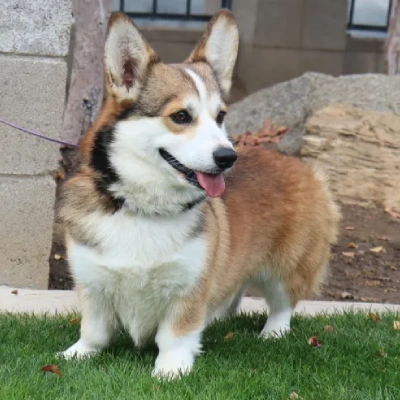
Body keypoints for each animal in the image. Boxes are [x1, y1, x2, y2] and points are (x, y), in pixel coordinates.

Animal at [57, 10, 340, 378]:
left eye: (220, 116)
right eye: (181, 116)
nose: (228, 157)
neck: (144, 208)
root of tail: (303, 167)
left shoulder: (189, 289)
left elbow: (175, 336)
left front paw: (170, 370)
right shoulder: (93, 285)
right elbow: (94, 331)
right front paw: (76, 354)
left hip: (286, 265)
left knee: (283, 304)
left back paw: (272, 333)